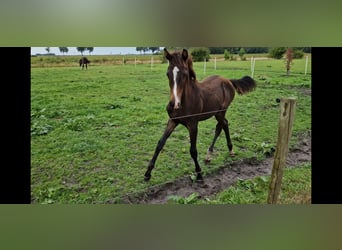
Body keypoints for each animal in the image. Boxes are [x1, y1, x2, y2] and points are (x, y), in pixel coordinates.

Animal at [144, 47, 256, 183]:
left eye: (185, 74)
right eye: (168, 73)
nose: (173, 104)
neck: (185, 101)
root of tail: (228, 80)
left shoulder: (193, 125)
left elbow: (193, 150)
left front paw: (199, 174)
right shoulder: (173, 121)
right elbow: (160, 143)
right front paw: (147, 173)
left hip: (221, 112)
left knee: (222, 126)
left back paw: (222, 152)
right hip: (217, 113)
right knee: (223, 125)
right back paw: (218, 153)